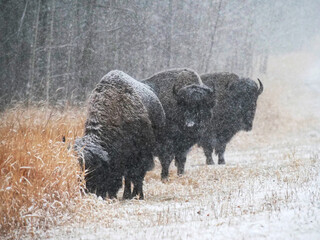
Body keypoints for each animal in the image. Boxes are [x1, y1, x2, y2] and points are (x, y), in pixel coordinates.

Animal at [74, 70, 165, 199]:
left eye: (97, 168)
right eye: (80, 166)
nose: (86, 190)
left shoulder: (141, 155)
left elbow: (137, 176)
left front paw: (138, 195)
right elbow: (127, 176)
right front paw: (126, 194)